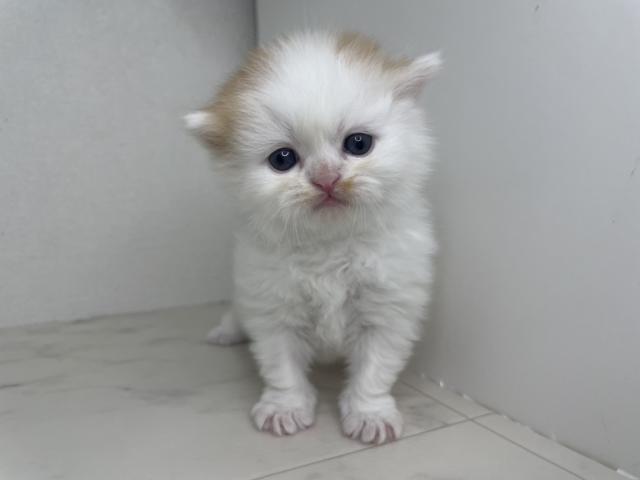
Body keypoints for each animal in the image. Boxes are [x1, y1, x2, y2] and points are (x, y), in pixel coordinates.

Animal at [185, 31, 440, 444]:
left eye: (358, 144)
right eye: (283, 159)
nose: (326, 179)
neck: (330, 245)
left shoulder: (387, 309)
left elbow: (374, 370)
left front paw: (369, 413)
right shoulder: (273, 309)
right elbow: (281, 367)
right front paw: (285, 408)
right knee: (239, 314)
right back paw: (226, 331)